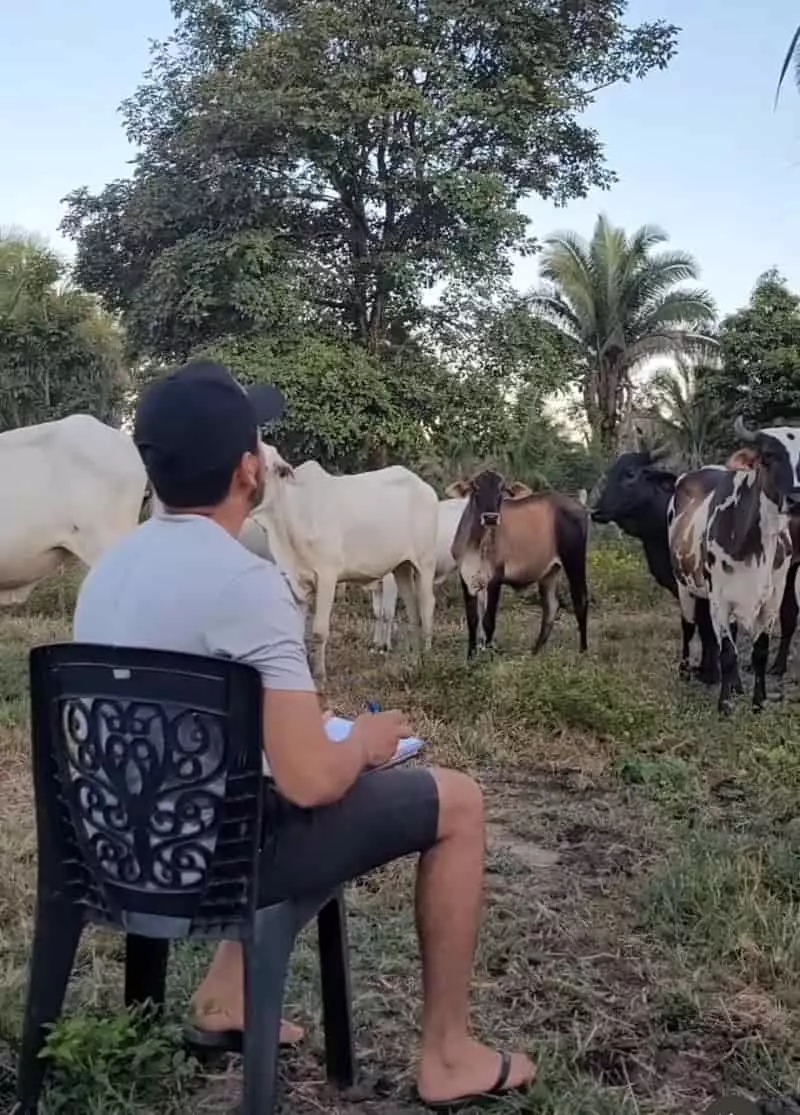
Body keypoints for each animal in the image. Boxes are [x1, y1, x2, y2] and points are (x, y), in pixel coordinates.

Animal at [247, 448, 439, 682]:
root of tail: (425, 488)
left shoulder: (327, 576)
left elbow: (319, 631)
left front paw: (320, 675)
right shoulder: (299, 581)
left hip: (425, 562)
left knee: (427, 605)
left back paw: (426, 659)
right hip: (401, 566)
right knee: (412, 608)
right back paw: (413, 660)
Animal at [368, 499, 486, 651]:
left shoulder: (390, 580)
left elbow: (387, 612)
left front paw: (386, 646)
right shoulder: (377, 585)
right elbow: (377, 612)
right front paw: (376, 643)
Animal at [444, 468, 584, 655]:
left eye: (502, 489)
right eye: (476, 487)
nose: (490, 518)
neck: (477, 544)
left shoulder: (495, 578)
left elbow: (488, 621)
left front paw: (489, 656)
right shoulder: (466, 577)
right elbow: (472, 620)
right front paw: (471, 656)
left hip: (574, 558)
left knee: (580, 600)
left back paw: (583, 650)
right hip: (550, 571)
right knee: (551, 607)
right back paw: (535, 652)